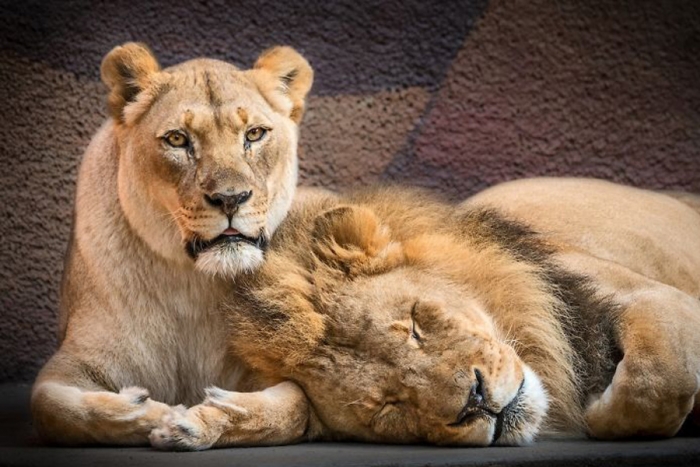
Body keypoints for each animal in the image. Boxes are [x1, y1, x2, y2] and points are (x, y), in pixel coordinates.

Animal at [32, 41, 312, 446]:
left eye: (255, 134)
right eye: (178, 139)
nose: (231, 199)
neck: (191, 282)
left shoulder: (280, 372)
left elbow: (294, 408)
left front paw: (201, 419)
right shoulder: (73, 361)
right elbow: (52, 408)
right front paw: (153, 413)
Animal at [150, 179, 700, 450]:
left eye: (414, 325)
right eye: (388, 407)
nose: (477, 402)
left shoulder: (660, 301)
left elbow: (654, 382)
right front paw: (197, 422)